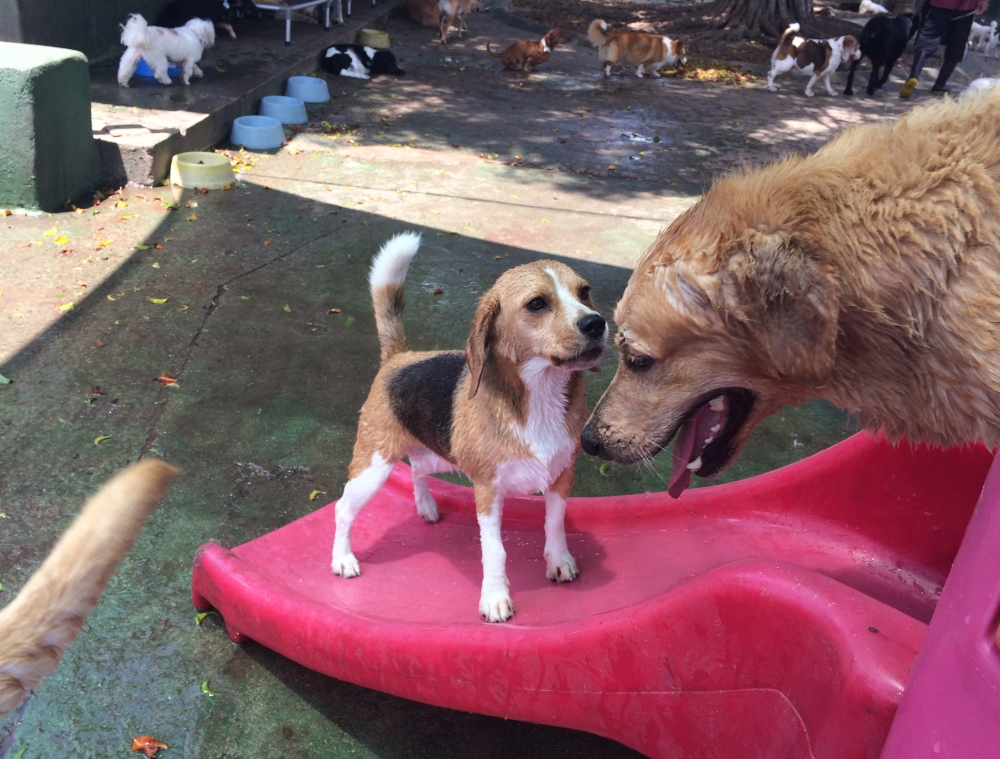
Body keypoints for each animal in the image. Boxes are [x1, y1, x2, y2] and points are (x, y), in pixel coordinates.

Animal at [332, 233, 604, 624]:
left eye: (584, 292)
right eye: (536, 304)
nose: (597, 324)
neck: (539, 394)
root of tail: (399, 356)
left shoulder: (561, 475)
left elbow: (554, 524)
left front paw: (559, 561)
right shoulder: (487, 491)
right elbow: (495, 551)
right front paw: (495, 598)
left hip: (439, 455)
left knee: (417, 468)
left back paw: (426, 506)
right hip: (373, 467)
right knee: (343, 509)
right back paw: (342, 559)